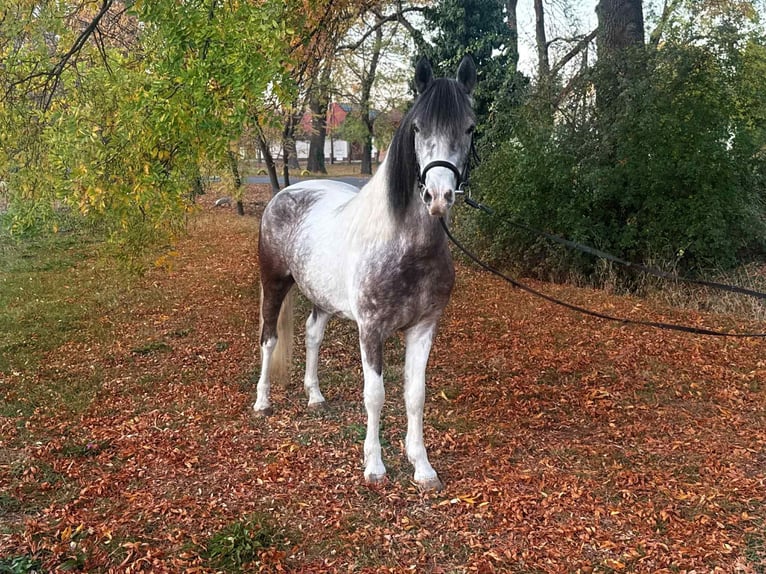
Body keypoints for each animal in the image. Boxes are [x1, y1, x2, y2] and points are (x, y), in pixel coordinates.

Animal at [254, 56, 477, 491]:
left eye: (470, 127)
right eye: (417, 128)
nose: (438, 197)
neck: (405, 246)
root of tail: (283, 195)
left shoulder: (424, 327)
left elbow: (415, 394)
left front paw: (422, 467)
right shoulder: (370, 330)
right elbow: (375, 394)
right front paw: (375, 466)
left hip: (322, 298)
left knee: (312, 335)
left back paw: (314, 397)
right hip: (273, 285)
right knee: (268, 339)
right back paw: (262, 401)